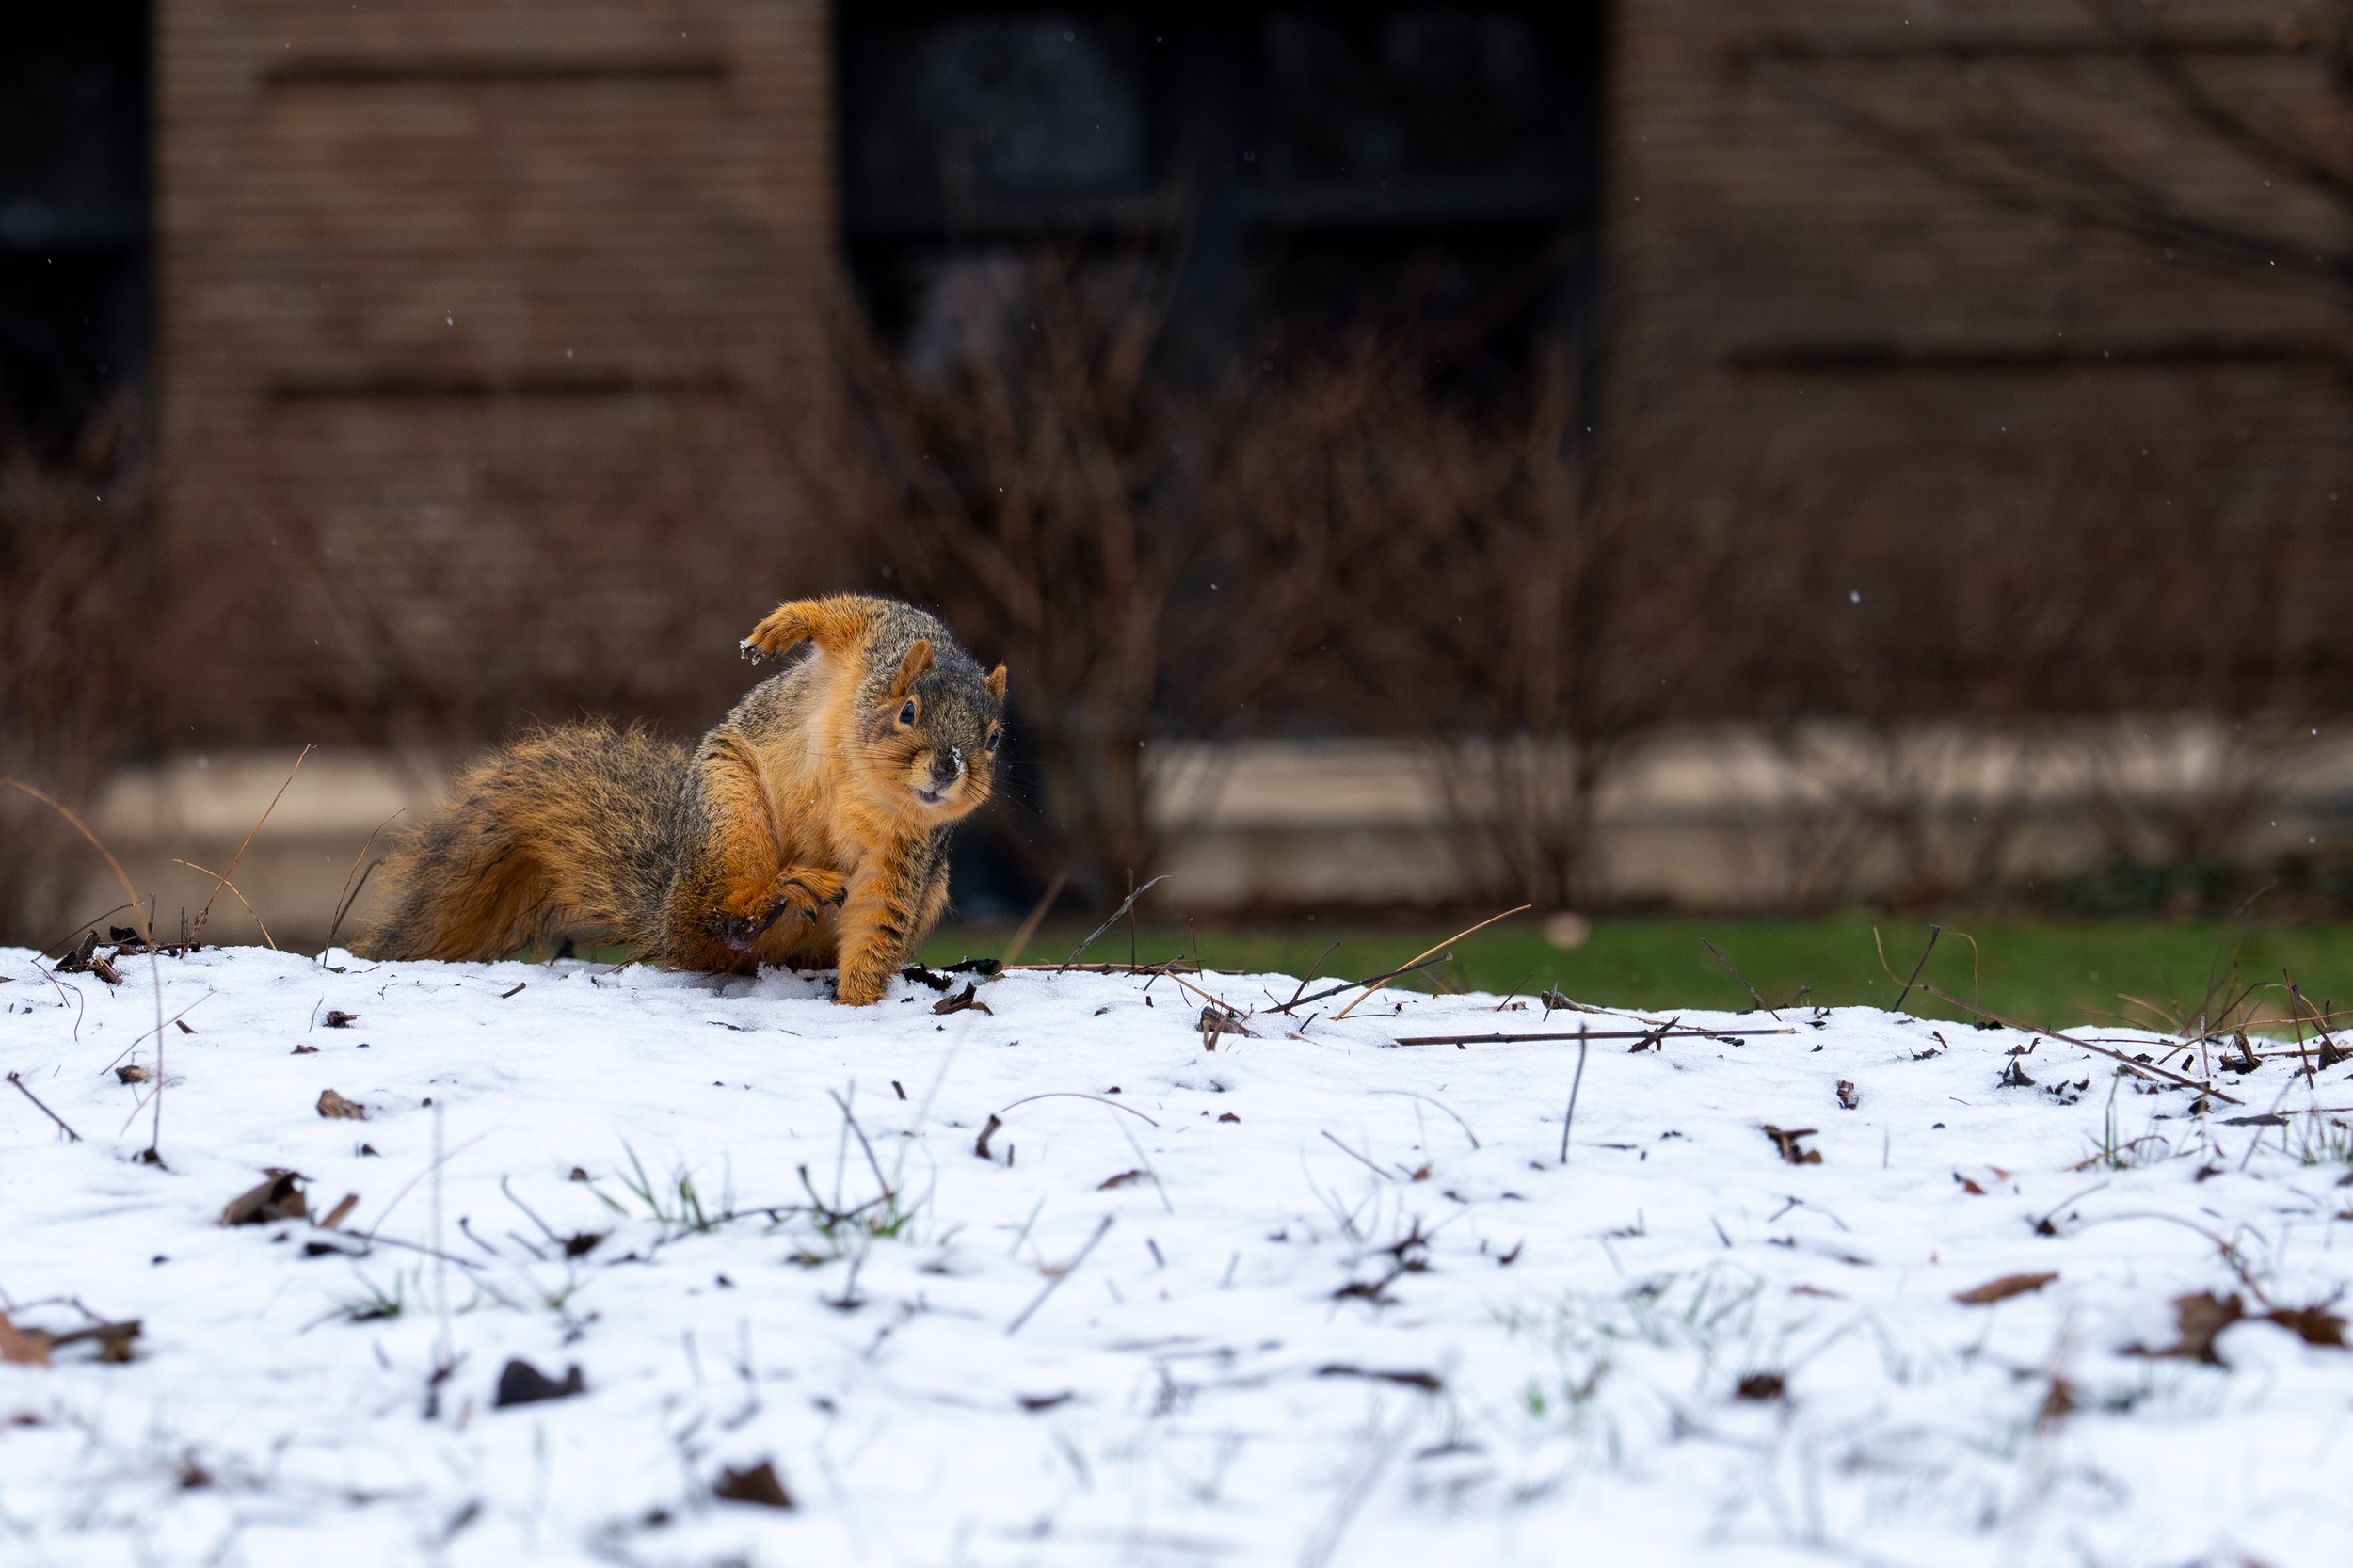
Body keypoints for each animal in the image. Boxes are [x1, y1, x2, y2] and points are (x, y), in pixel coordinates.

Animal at [355, 594, 1007, 1005]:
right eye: (907, 711)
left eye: (995, 738)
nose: (948, 767)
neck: (866, 778)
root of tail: (667, 909)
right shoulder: (880, 636)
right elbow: (843, 612)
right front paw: (782, 627)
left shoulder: (903, 852)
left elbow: (877, 920)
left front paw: (857, 1004)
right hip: (728, 813)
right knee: (711, 915)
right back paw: (764, 897)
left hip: (927, 887)